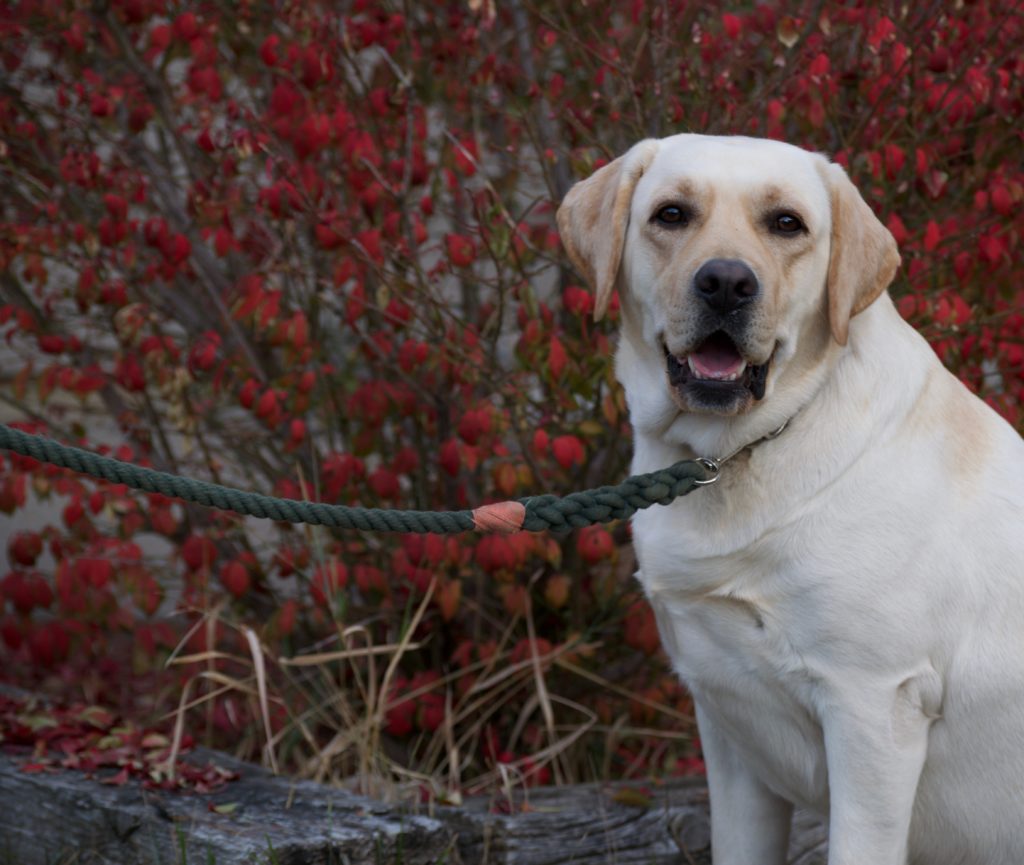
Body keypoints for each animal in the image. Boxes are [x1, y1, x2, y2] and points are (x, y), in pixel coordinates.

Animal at [557, 132, 1024, 859]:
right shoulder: (728, 723)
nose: (726, 282)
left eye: (786, 224)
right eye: (671, 214)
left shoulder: (873, 709)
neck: (739, 454)